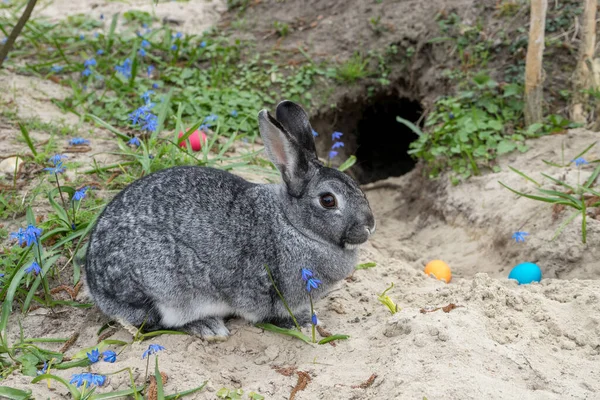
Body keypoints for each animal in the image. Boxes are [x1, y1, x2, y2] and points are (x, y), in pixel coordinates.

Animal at [84, 101, 376, 340]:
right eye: (328, 200)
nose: (369, 226)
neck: (293, 224)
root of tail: (95, 284)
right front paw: (303, 322)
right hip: (165, 288)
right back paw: (208, 327)